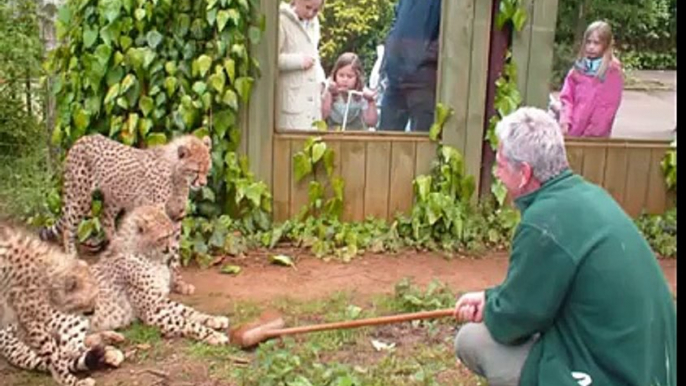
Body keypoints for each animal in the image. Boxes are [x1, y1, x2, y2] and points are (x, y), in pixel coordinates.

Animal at [0, 222, 121, 386]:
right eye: (91, 298)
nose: (93, 311)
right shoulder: (33, 321)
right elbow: (55, 360)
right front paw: (70, 381)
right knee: (67, 347)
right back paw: (107, 351)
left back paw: (109, 341)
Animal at [40, 133, 211, 296]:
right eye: (196, 170)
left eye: (207, 169)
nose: (203, 184)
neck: (177, 174)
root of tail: (82, 139)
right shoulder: (157, 212)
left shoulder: (176, 217)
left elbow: (174, 251)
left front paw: (179, 283)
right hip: (81, 197)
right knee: (68, 228)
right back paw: (74, 259)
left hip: (115, 198)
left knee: (105, 218)